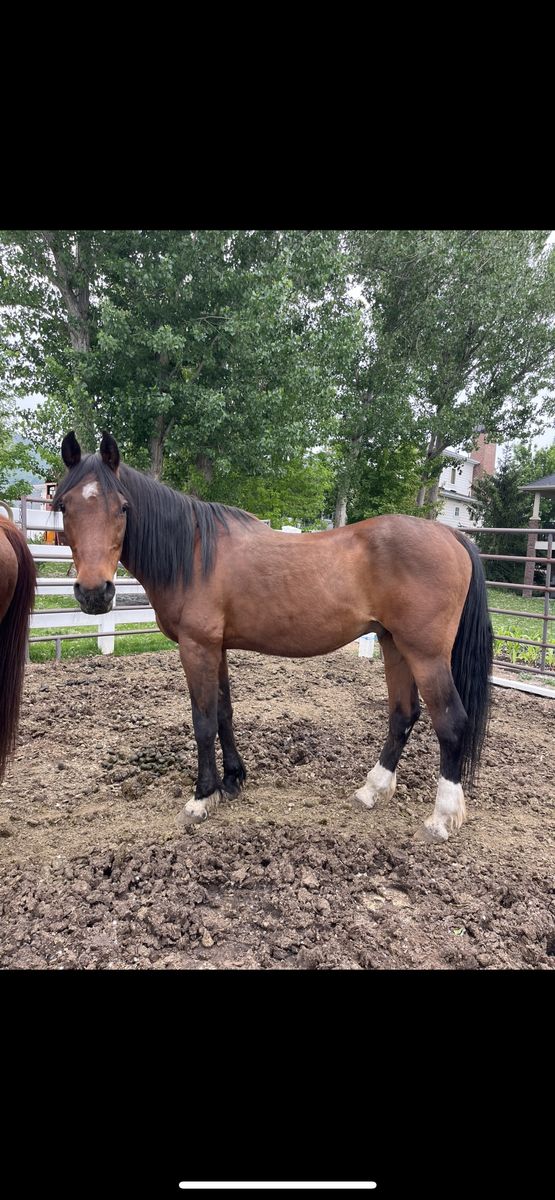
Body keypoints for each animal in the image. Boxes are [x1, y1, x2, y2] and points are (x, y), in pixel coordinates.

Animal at [52, 431, 493, 841]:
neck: (193, 554)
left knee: (451, 722)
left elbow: (203, 720)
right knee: (403, 714)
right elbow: (224, 712)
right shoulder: (217, 648)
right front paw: (232, 780)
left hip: (426, 654)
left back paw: (441, 818)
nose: (95, 593)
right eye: (64, 507)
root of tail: (450, 535)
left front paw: (202, 797)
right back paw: (372, 790)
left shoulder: (197, 648)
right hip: (394, 645)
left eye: (122, 507)